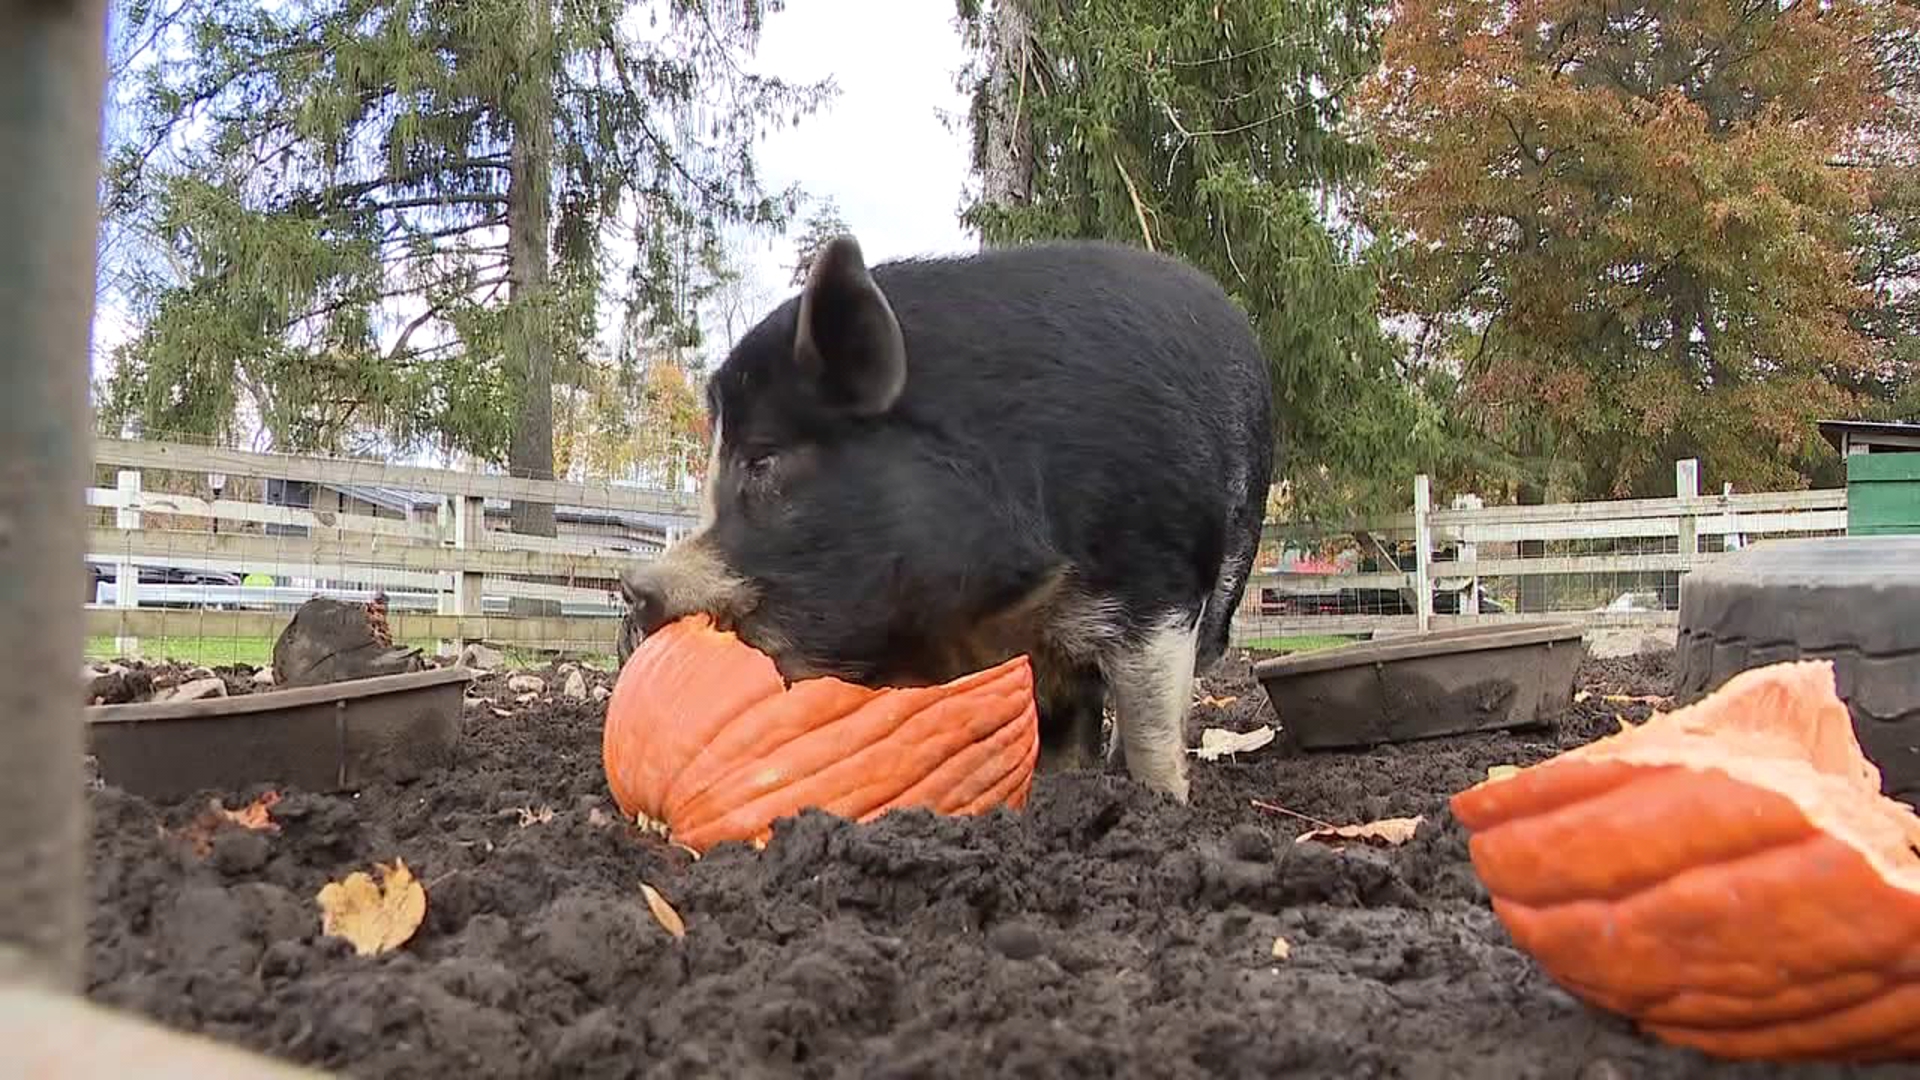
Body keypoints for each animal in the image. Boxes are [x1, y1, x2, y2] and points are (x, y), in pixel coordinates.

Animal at [618, 233, 1274, 799]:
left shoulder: (1158, 581)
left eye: (762, 460)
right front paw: (1053, 788)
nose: (634, 587)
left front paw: (1160, 801)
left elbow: (1150, 718)